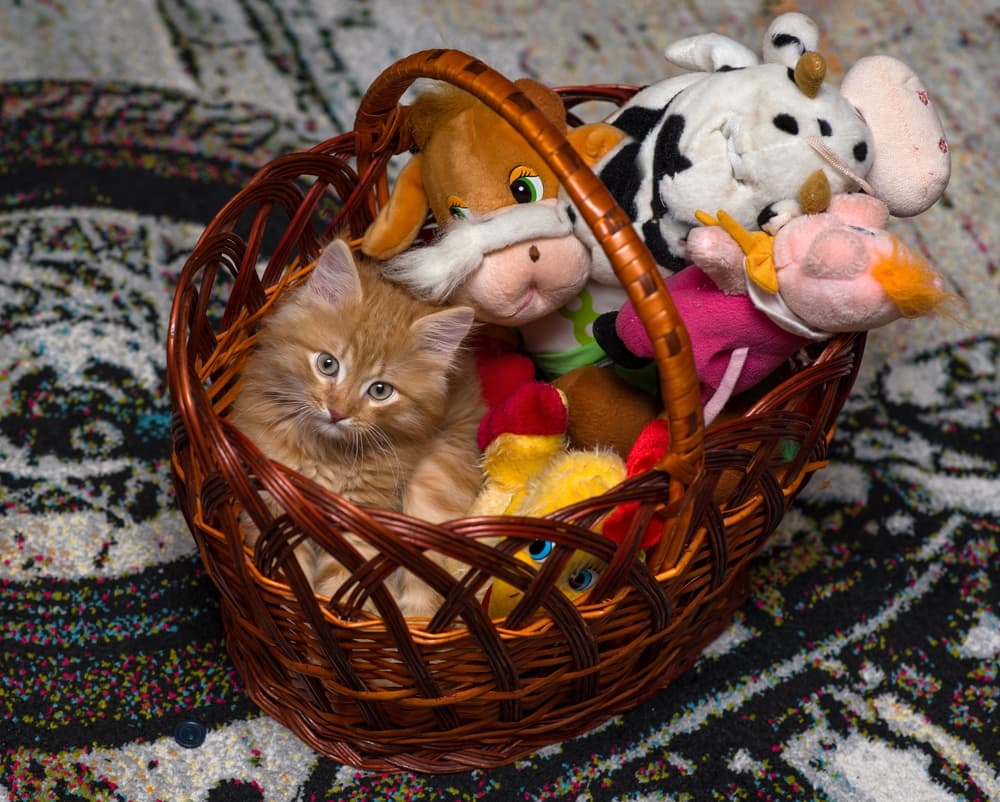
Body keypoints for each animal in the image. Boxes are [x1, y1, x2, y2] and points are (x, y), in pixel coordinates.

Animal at [232, 238, 486, 612]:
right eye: (327, 364)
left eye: (380, 391)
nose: (338, 412)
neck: (327, 455)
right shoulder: (276, 496)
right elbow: (291, 571)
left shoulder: (364, 514)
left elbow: (345, 580)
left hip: (435, 481)